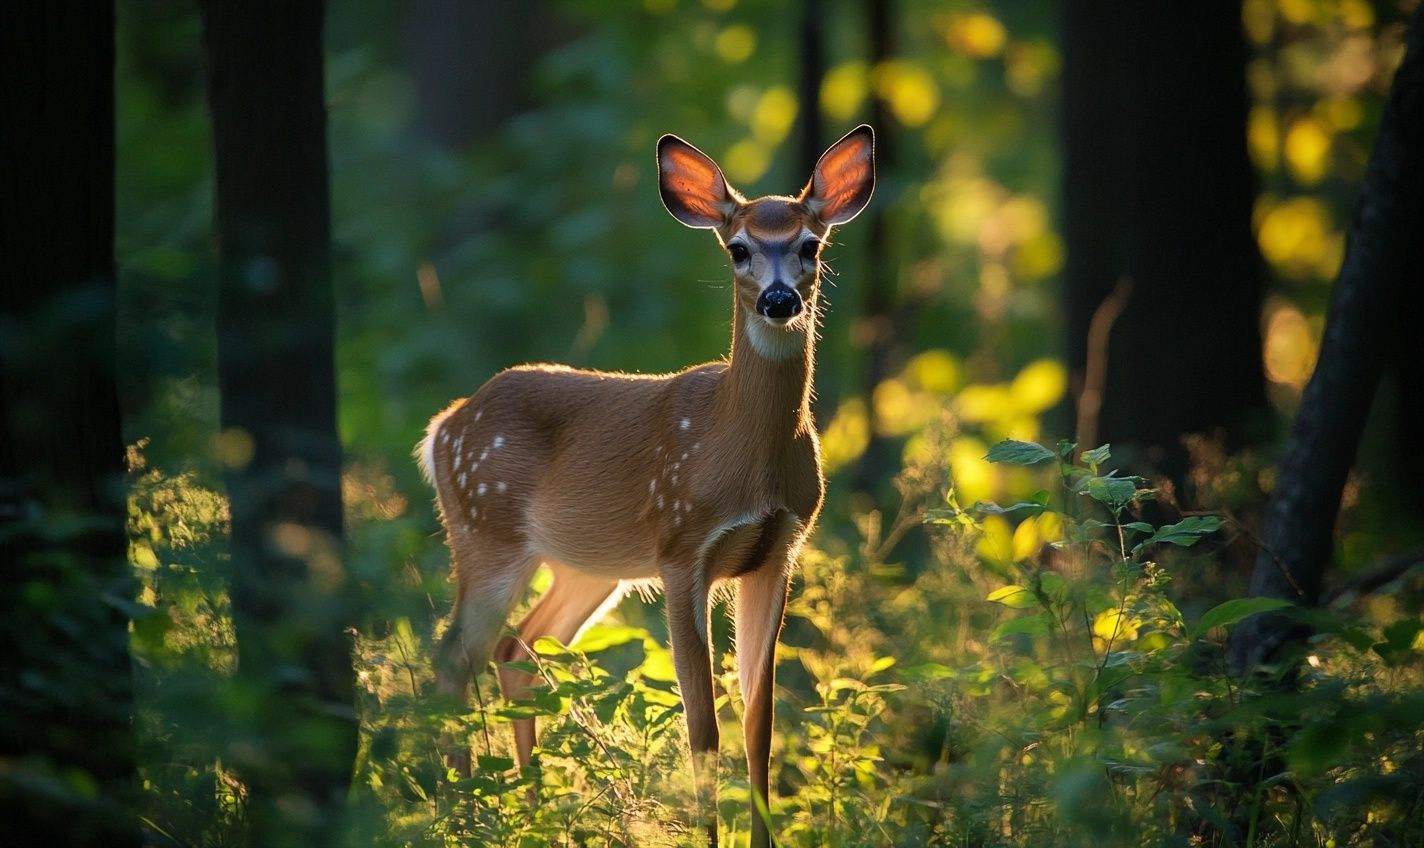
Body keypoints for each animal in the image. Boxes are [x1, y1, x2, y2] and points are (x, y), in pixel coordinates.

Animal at [415, 125, 871, 848]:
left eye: (810, 246)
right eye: (738, 248)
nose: (779, 301)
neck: (742, 451)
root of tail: (443, 427)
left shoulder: (778, 552)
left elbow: (759, 726)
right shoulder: (681, 545)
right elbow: (703, 728)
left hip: (587, 567)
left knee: (517, 649)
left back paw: (534, 809)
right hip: (486, 531)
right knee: (453, 659)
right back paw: (468, 812)